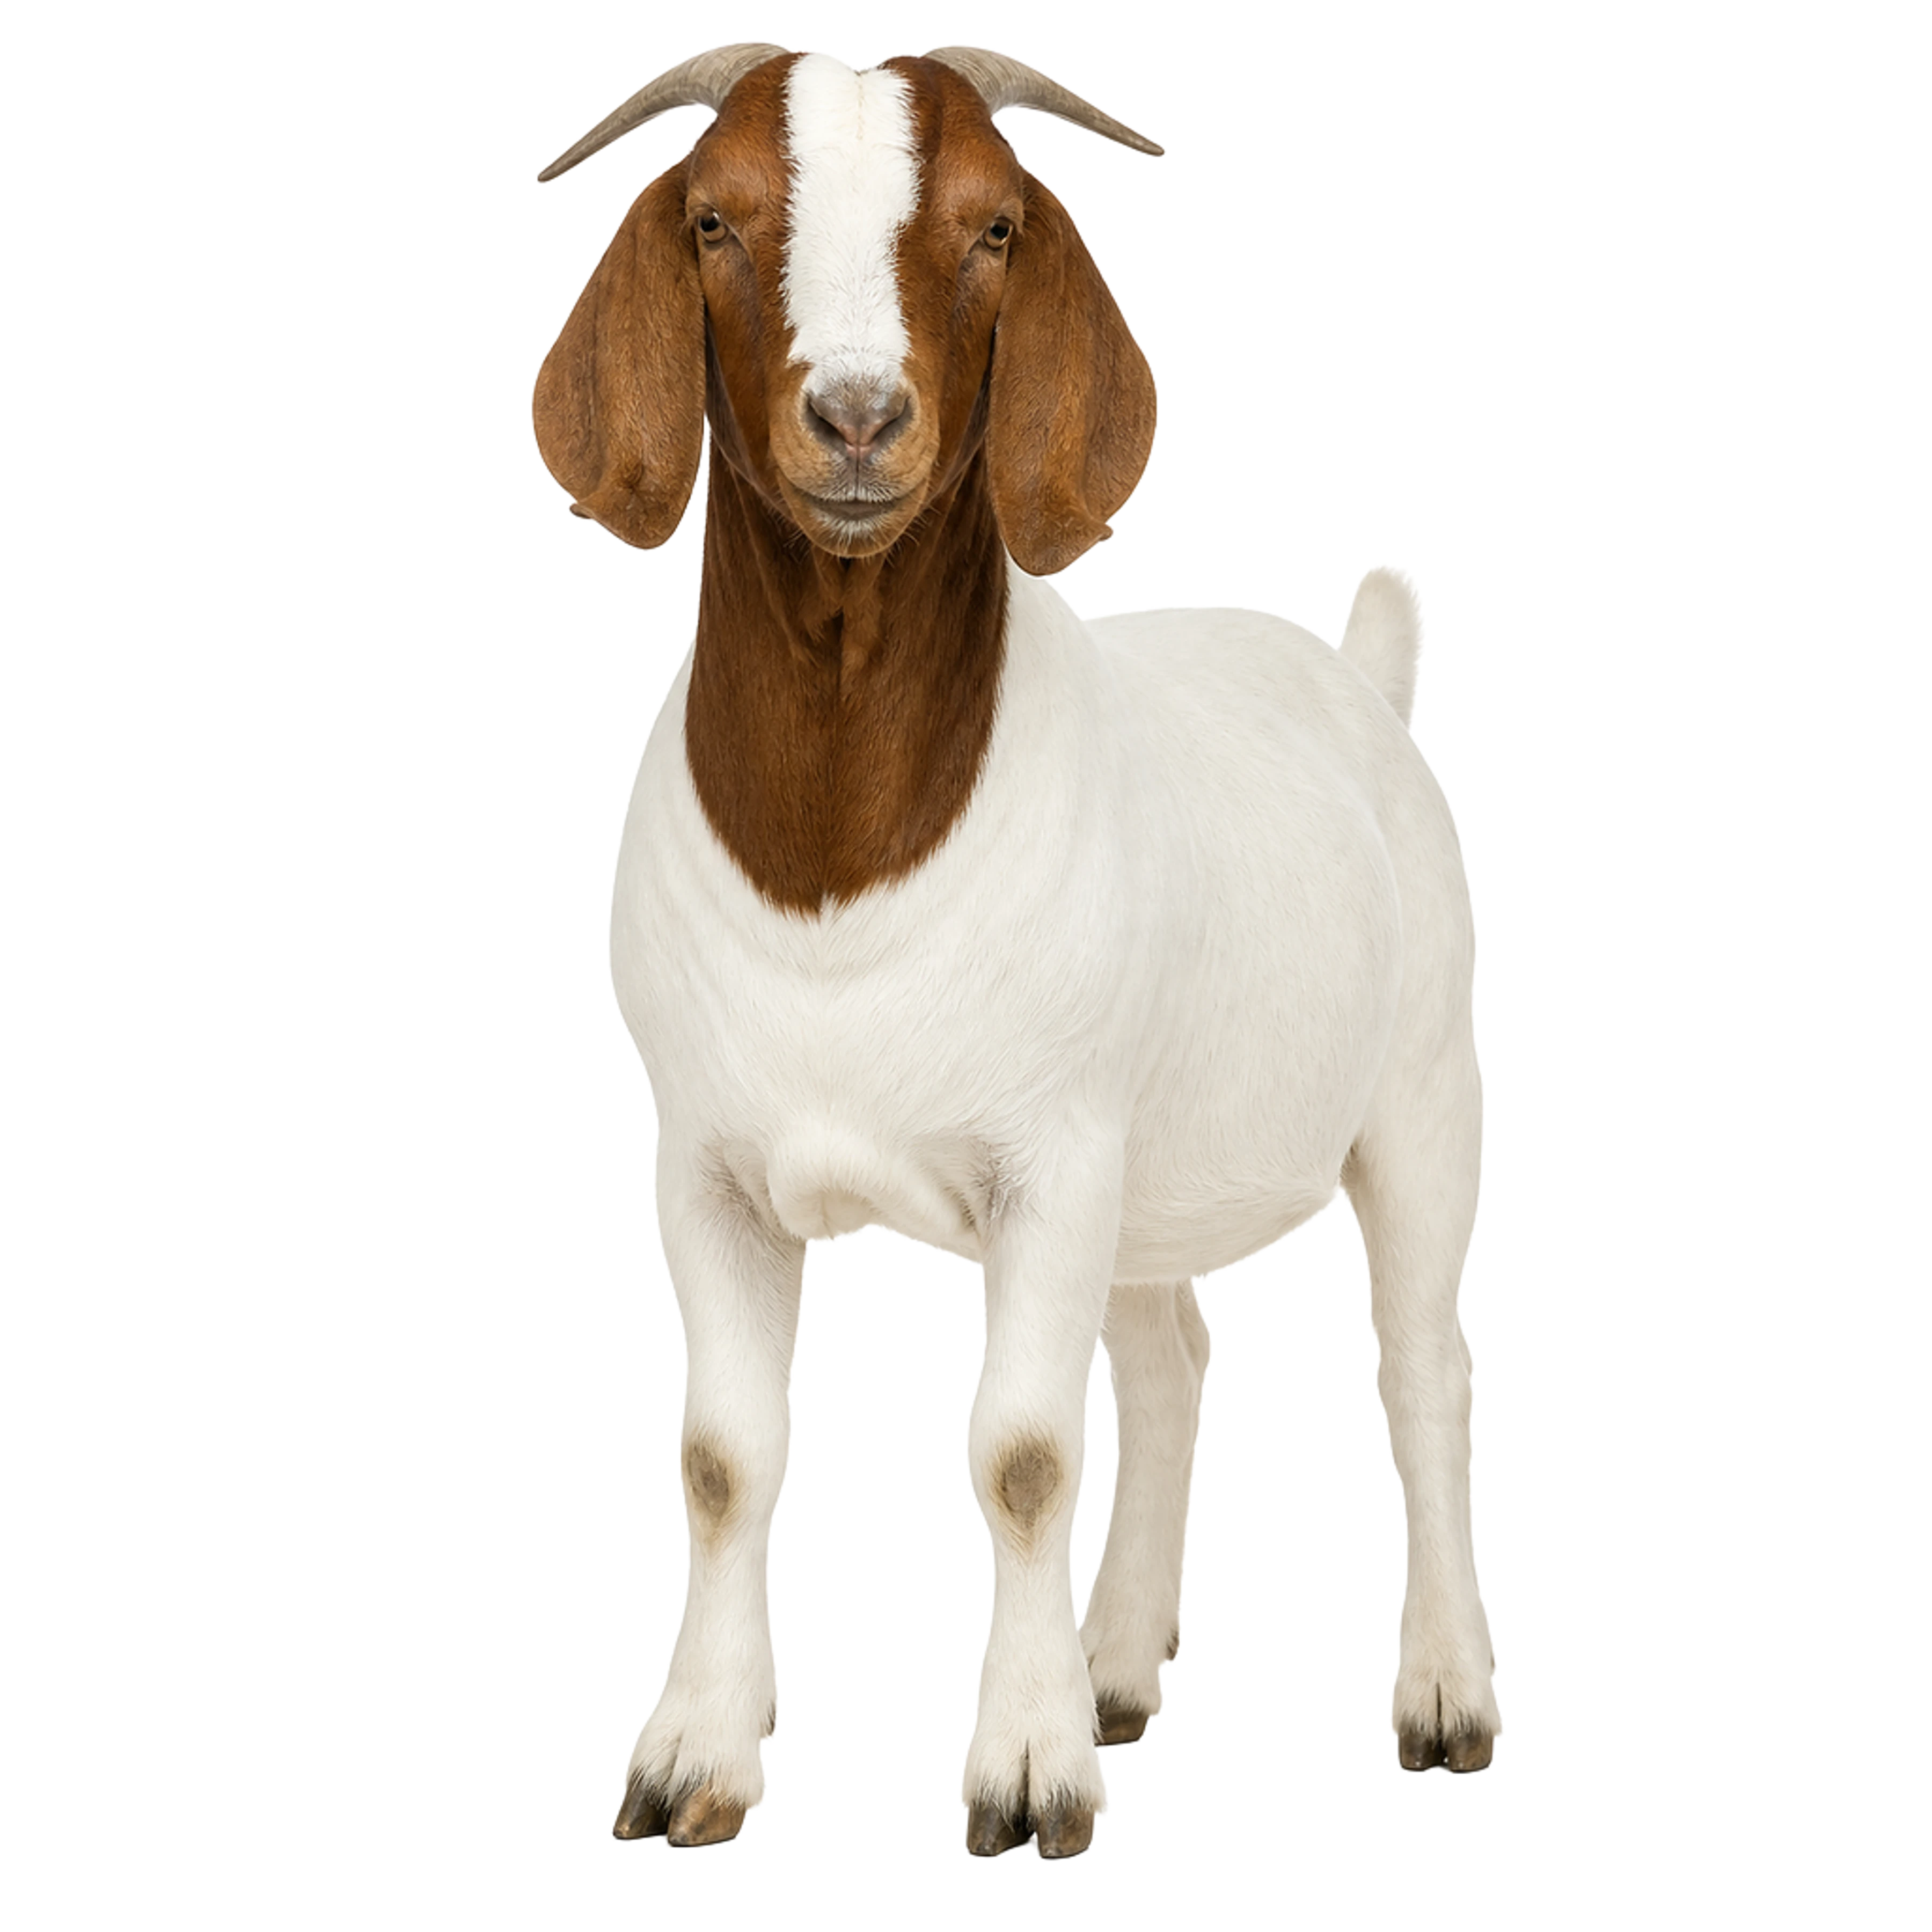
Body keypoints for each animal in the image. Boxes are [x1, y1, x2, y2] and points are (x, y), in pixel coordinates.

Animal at [534, 42, 1500, 1857]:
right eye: (715, 219)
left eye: (992, 227)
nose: (856, 416)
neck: (843, 855)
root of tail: (1361, 671)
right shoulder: (703, 1164)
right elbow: (724, 1451)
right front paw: (696, 1758)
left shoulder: (1052, 1158)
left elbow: (1027, 1452)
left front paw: (1029, 1774)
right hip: (1152, 1175)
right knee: (1178, 1353)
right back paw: (1117, 1669)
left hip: (1419, 1105)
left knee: (1424, 1375)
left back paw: (1447, 1701)